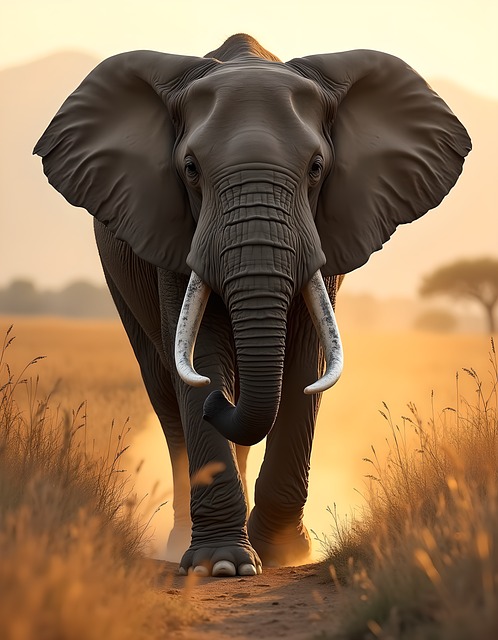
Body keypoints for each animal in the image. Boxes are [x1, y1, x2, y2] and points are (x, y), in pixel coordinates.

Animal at [34, 34, 471, 577]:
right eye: (191, 170)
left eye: (317, 168)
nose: (218, 400)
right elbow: (198, 356)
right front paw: (221, 566)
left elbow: (307, 363)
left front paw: (284, 555)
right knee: (165, 397)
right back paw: (181, 539)